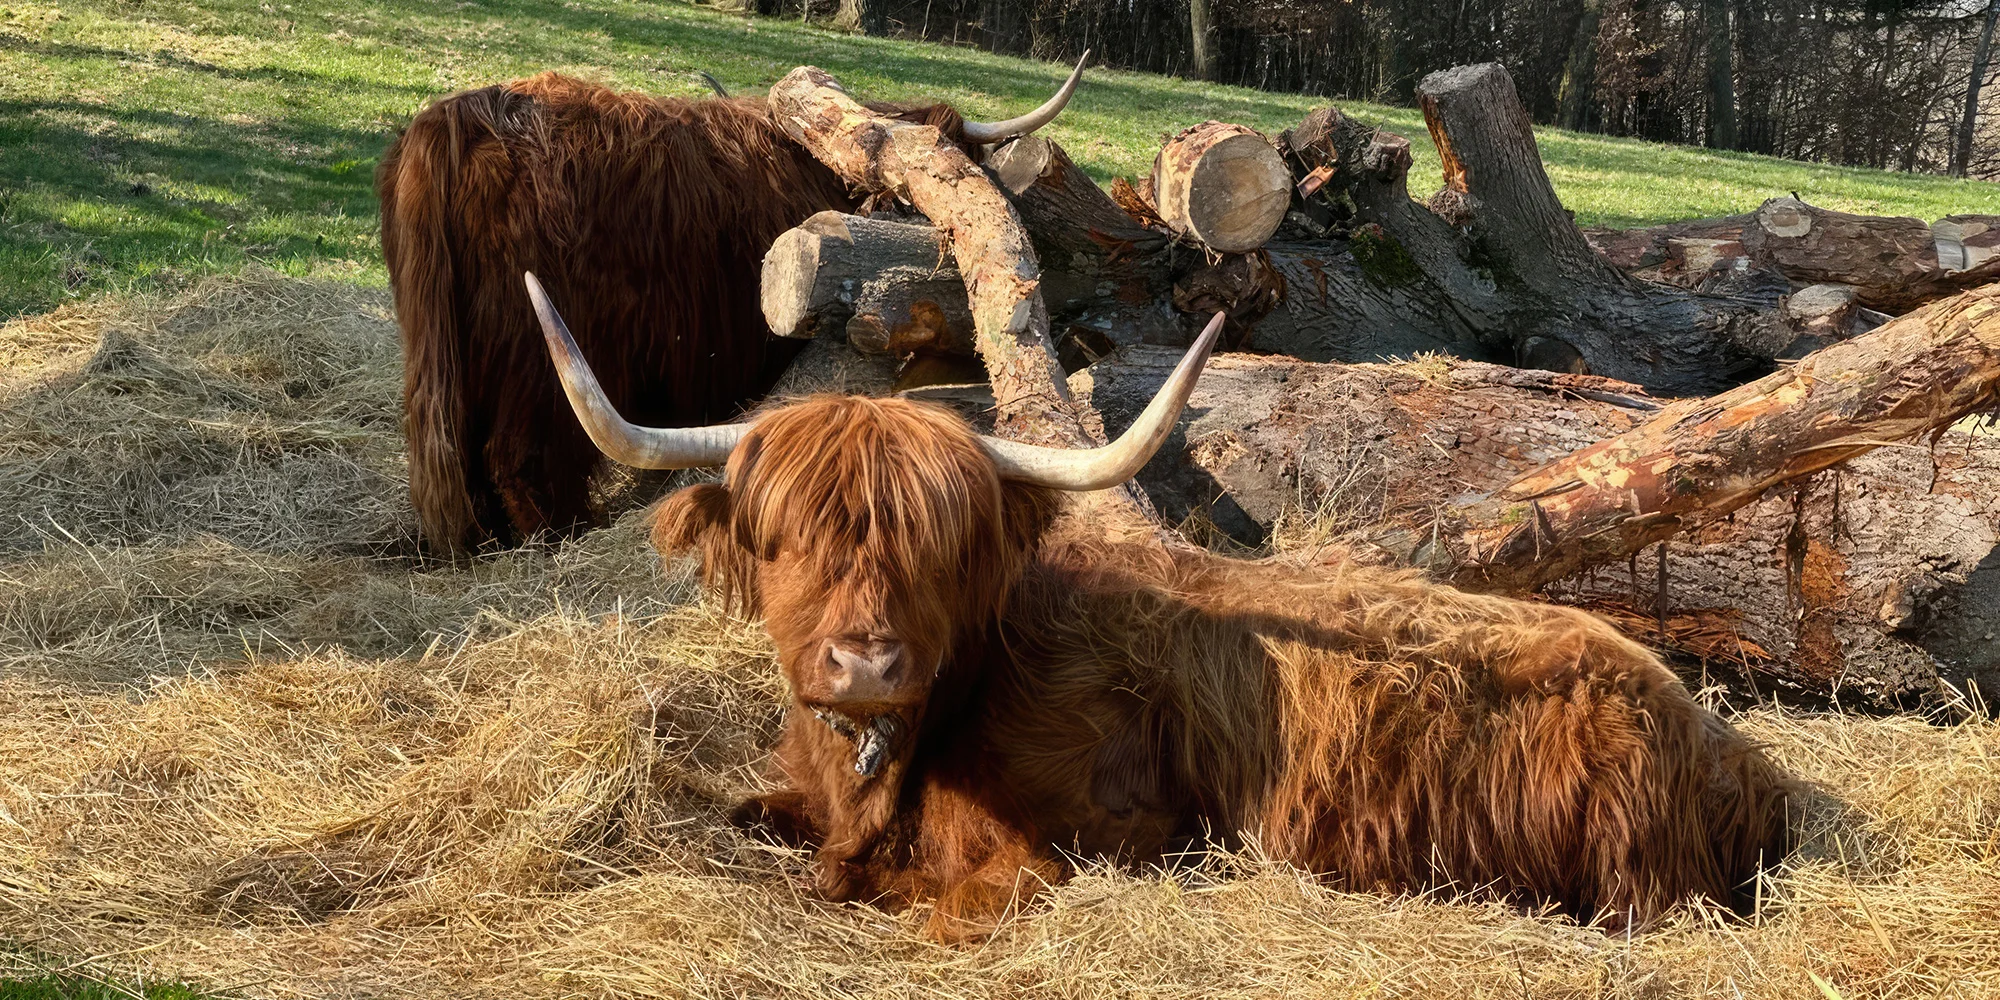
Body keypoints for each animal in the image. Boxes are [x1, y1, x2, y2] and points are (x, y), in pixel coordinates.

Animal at [524, 272, 1792, 936]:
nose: (867, 664)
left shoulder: (1090, 844)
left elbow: (931, 904)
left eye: (942, 545)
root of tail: (1717, 735)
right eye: (786, 538)